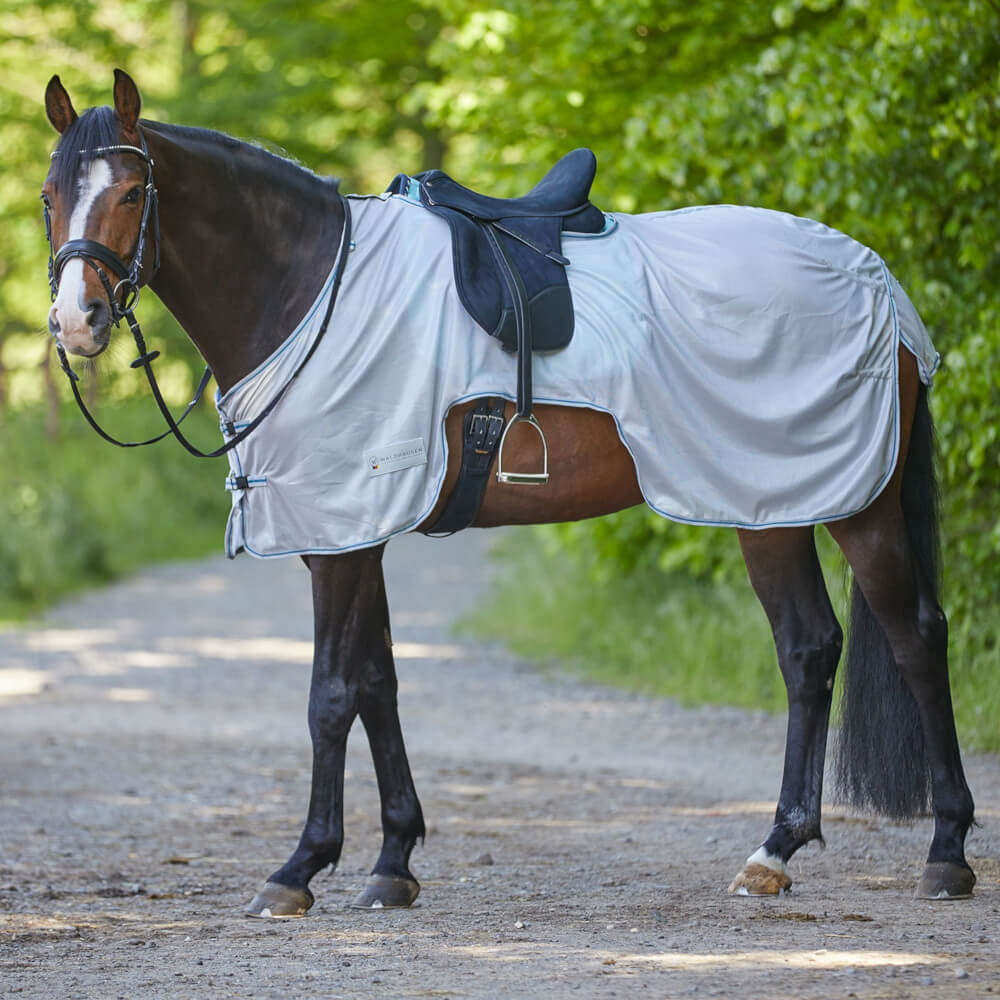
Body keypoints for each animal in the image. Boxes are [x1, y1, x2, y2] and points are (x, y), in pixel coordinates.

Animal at [39, 70, 975, 917]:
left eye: (131, 192)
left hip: (857, 504)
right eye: (50, 196)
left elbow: (330, 697)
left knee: (917, 636)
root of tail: (880, 284)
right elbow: (377, 683)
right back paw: (774, 852)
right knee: (809, 650)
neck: (310, 289)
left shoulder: (344, 534)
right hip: (767, 503)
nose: (77, 322)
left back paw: (946, 853)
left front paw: (300, 868)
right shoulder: (354, 532)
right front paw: (393, 863)